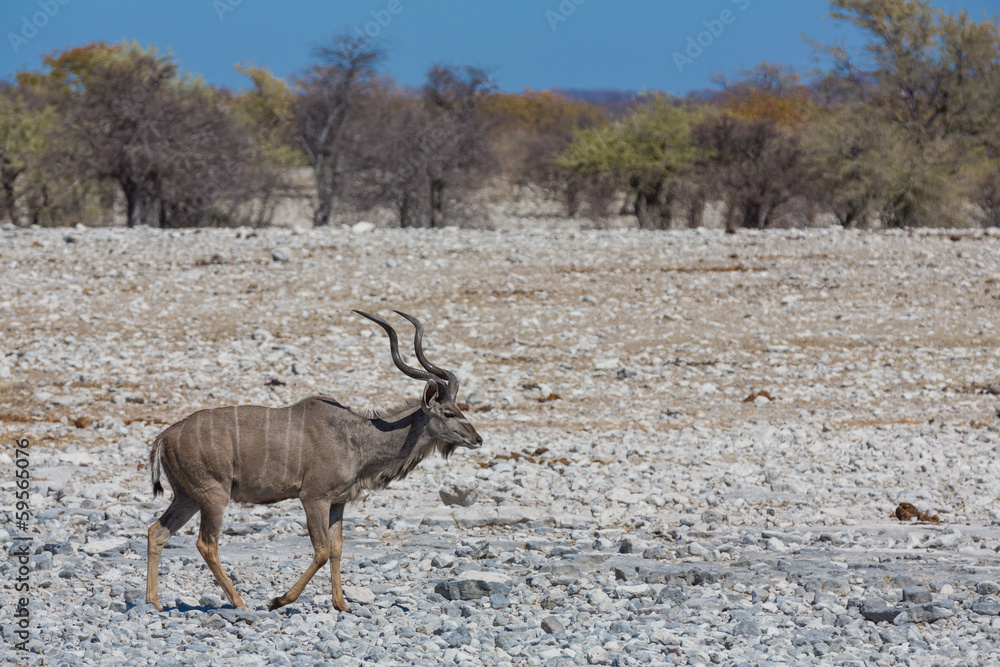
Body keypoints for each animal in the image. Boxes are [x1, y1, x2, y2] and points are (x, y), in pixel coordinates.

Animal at [145, 310, 482, 613]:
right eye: (448, 412)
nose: (477, 439)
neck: (357, 437)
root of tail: (164, 436)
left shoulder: (338, 503)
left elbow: (337, 548)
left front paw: (342, 604)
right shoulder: (313, 498)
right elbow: (321, 551)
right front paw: (279, 600)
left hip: (187, 498)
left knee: (156, 531)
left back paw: (155, 603)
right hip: (214, 496)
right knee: (207, 543)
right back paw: (240, 603)